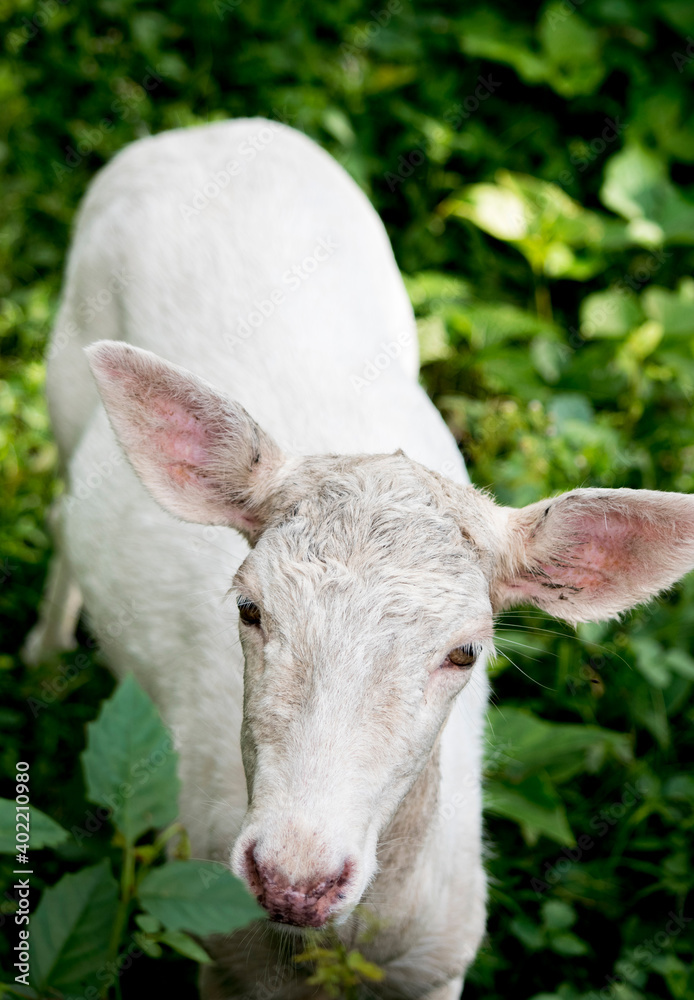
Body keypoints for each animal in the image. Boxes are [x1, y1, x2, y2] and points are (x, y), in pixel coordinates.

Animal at [28, 117, 694, 999]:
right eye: (249, 607)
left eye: (466, 652)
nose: (293, 880)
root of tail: (211, 129)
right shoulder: (218, 959)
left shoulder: (442, 964)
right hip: (63, 359)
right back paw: (40, 655)